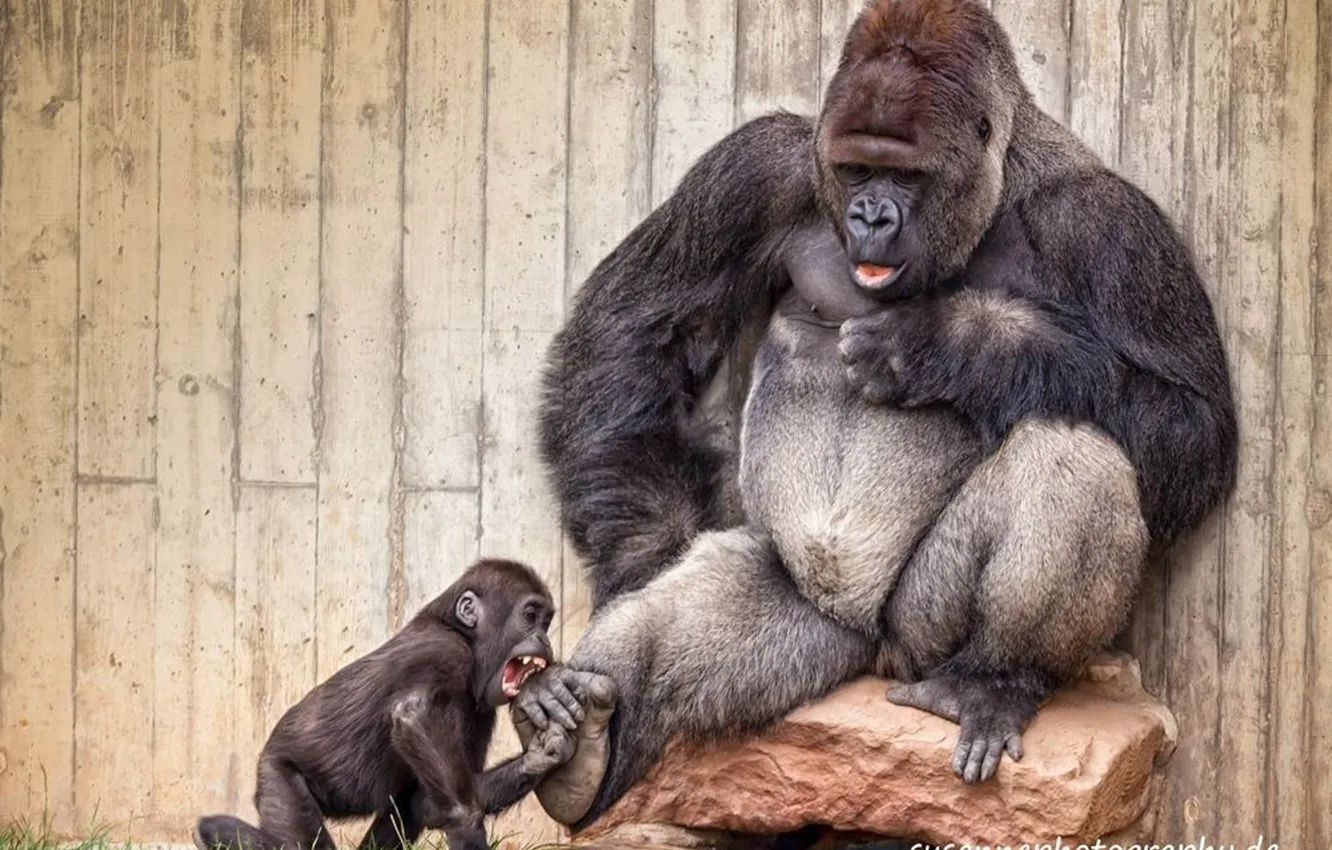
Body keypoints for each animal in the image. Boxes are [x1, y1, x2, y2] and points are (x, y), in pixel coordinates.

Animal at [194, 559, 572, 850]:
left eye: (546, 621)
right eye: (530, 615)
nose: (544, 638)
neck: (461, 632)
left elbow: (430, 801)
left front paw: (540, 756)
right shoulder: (446, 652)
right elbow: (415, 718)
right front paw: (466, 824)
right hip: (277, 774)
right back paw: (210, 831)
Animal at [511, 0, 1236, 842]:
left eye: (909, 174)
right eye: (857, 169)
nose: (870, 215)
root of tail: (867, 650)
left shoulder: (1109, 225)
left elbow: (1191, 426)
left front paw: (951, 343)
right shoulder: (760, 166)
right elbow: (636, 328)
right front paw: (638, 553)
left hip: (919, 637)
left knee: (1073, 457)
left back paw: (993, 681)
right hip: (799, 604)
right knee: (674, 634)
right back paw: (582, 747)